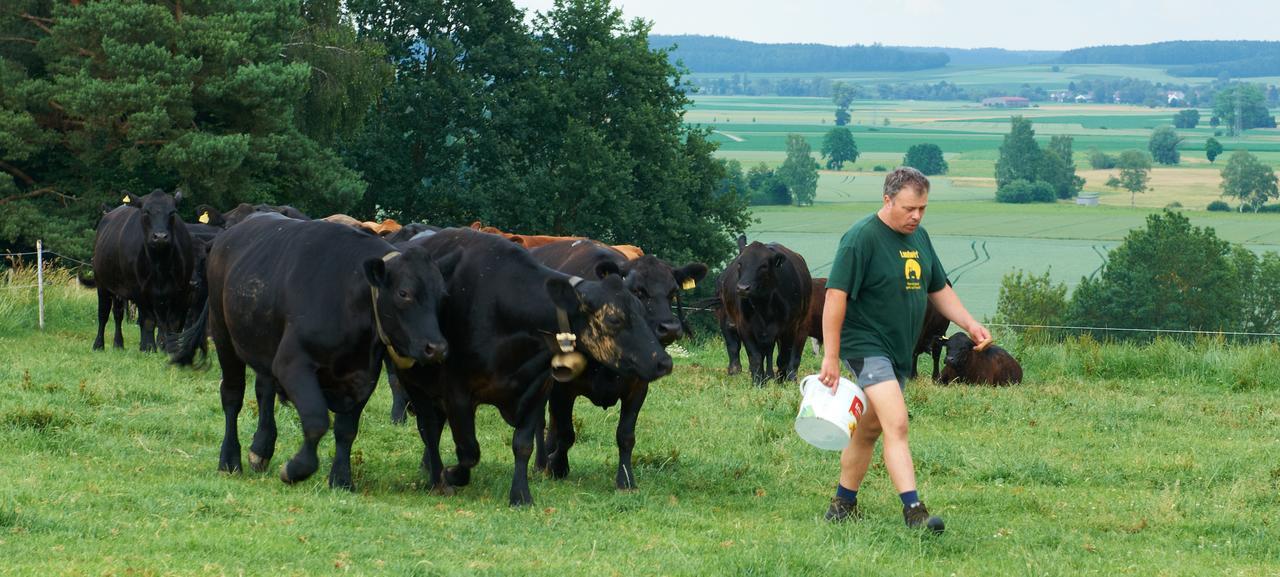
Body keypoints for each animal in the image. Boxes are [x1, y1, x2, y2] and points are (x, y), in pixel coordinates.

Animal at [170, 214, 450, 491]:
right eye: (404, 293)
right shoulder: (292, 364)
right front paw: (296, 469)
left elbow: (346, 429)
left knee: (263, 392)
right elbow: (316, 420)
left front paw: (341, 478)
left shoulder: (364, 375)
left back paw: (261, 449)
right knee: (232, 396)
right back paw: (229, 460)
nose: (436, 347)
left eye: (442, 295)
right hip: (223, 334)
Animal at [391, 229, 675, 506]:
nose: (664, 362)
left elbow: (523, 444)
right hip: (414, 383)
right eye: (614, 318)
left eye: (641, 309)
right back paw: (434, 475)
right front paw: (451, 474)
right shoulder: (458, 392)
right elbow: (469, 449)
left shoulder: (538, 387)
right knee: (429, 428)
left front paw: (521, 495)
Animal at [529, 237, 711, 488]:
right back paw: (541, 462)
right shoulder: (562, 386)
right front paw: (557, 466)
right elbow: (566, 433)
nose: (670, 328)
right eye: (638, 291)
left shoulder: (638, 385)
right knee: (540, 420)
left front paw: (625, 480)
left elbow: (625, 435)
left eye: (673, 292)